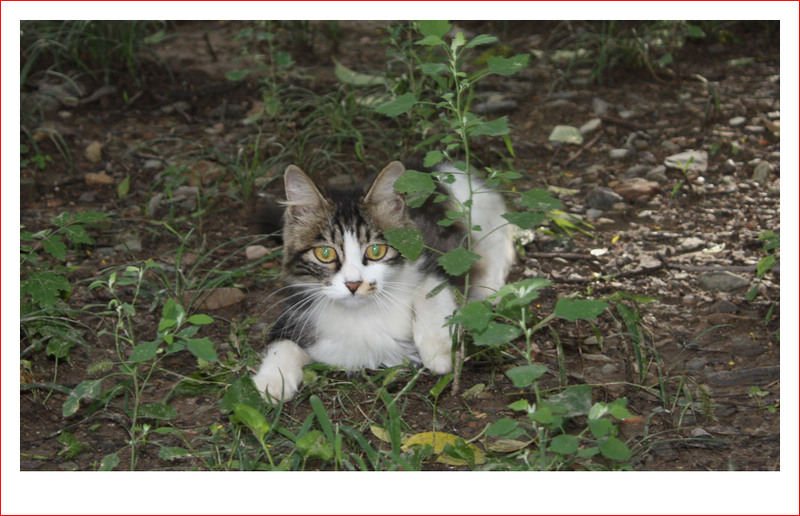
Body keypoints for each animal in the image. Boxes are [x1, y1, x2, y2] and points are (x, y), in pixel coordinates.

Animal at [253, 159, 516, 402]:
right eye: (325, 253)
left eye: (376, 251)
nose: (353, 284)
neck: (361, 314)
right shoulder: (294, 317)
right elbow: (281, 344)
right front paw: (270, 381)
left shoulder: (442, 256)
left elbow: (431, 289)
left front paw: (439, 352)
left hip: (479, 212)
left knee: (501, 239)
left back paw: (488, 290)